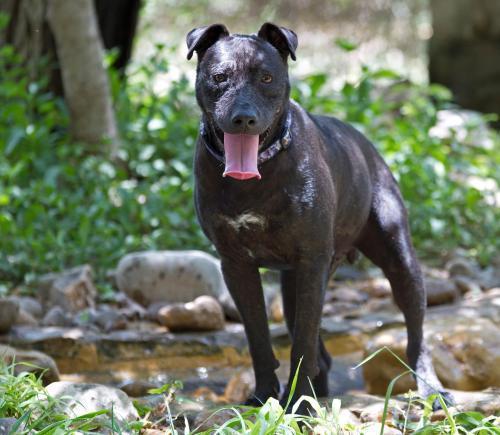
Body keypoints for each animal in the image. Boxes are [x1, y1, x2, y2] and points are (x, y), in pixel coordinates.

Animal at [186, 23, 452, 412]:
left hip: (400, 262)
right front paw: (265, 396)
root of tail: (365, 145)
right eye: (220, 77)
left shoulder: (312, 261)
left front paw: (298, 402)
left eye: (267, 77)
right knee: (316, 348)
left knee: (416, 335)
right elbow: (258, 338)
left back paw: (432, 390)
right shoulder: (236, 265)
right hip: (294, 284)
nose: (244, 117)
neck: (257, 175)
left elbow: (302, 344)